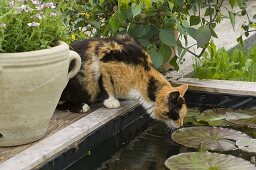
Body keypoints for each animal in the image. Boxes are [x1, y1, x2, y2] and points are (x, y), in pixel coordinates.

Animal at [59, 35, 188, 128]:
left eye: (183, 116)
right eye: (177, 116)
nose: (181, 125)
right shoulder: (105, 62)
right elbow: (106, 83)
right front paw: (111, 101)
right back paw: (82, 106)